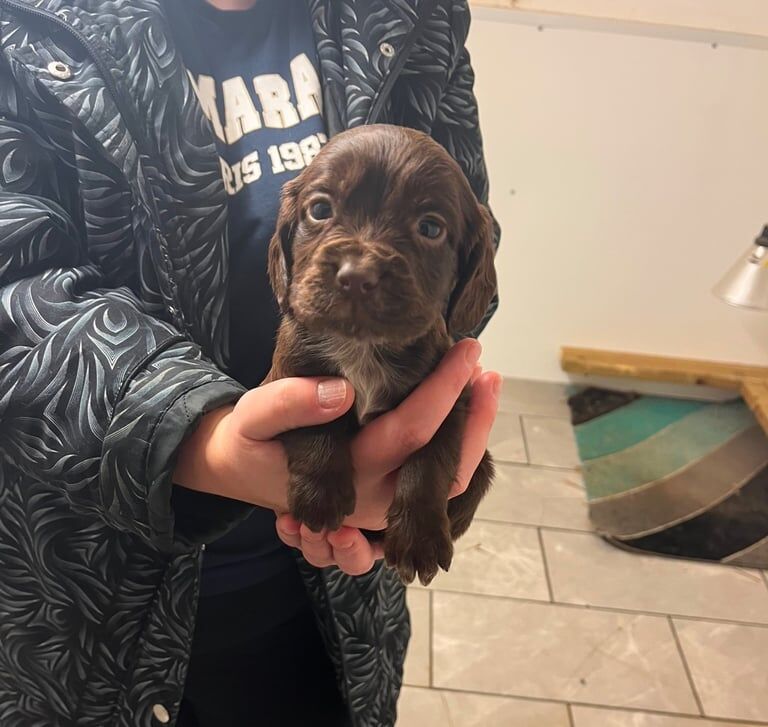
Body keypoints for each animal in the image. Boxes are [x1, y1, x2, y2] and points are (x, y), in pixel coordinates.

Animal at [266, 121, 498, 584]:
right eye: (320, 209)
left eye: (430, 228)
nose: (357, 275)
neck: (363, 345)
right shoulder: (290, 375)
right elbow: (315, 425)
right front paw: (321, 495)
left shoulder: (450, 399)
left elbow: (430, 458)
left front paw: (419, 537)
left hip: (481, 471)